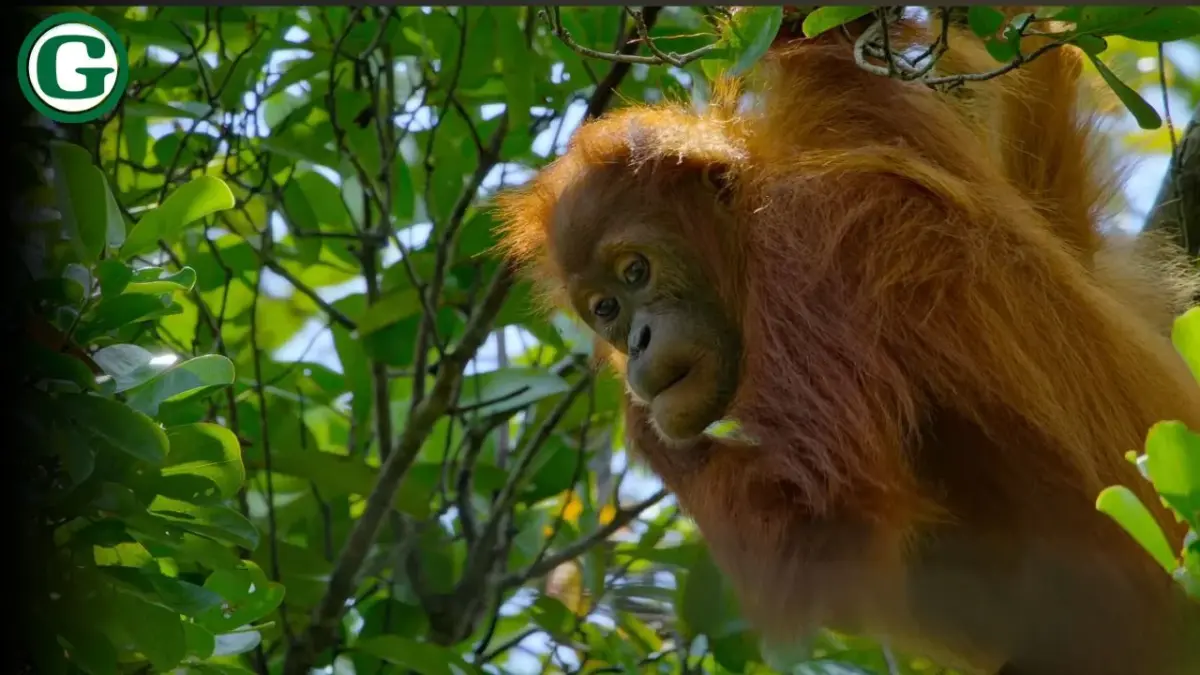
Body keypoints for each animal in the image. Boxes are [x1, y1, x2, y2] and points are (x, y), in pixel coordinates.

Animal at [495, 13, 1200, 675]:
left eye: (637, 271)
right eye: (606, 309)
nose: (637, 343)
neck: (748, 237)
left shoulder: (807, 263)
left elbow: (830, 518)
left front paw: (640, 423)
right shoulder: (863, 120)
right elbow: (845, 46)